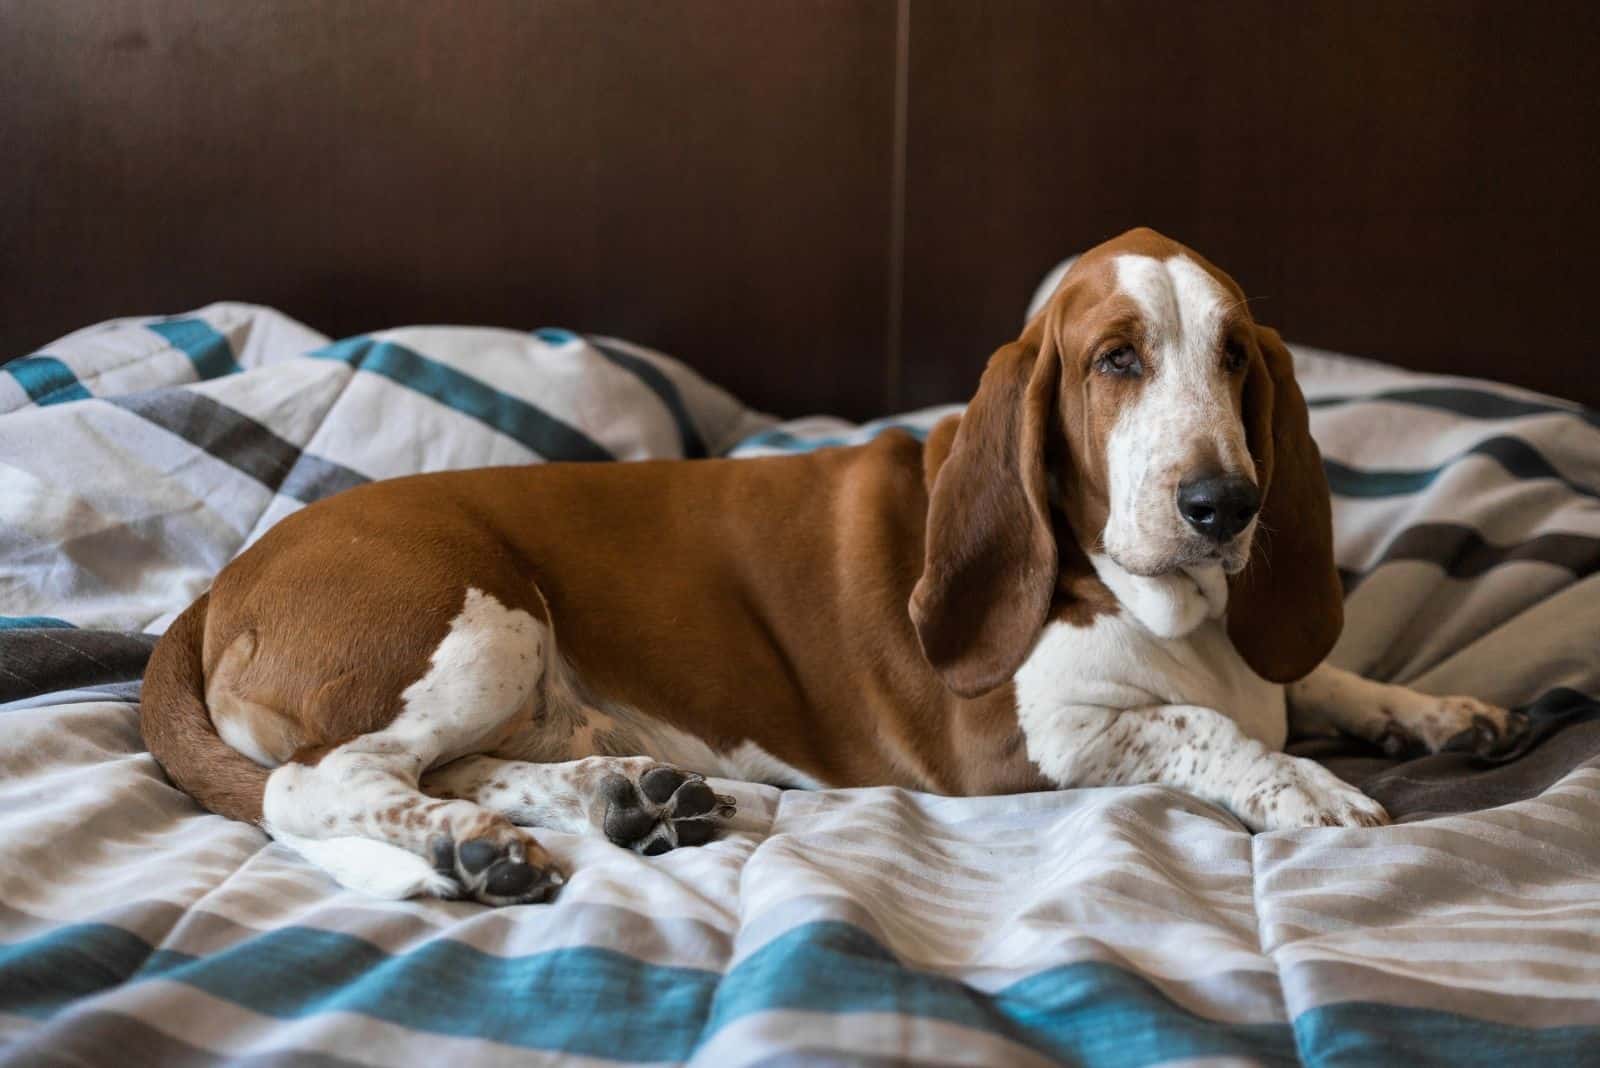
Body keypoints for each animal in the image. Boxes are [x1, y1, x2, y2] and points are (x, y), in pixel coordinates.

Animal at [140, 230, 1523, 908]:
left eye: (1236, 357)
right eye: (1116, 360)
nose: (1223, 504)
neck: (1163, 603)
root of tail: (219, 589)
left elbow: (1313, 678)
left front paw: (1425, 710)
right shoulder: (1020, 745)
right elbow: (1205, 728)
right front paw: (1307, 789)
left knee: (464, 765)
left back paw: (634, 800)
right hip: (480, 627)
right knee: (325, 784)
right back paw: (472, 849)